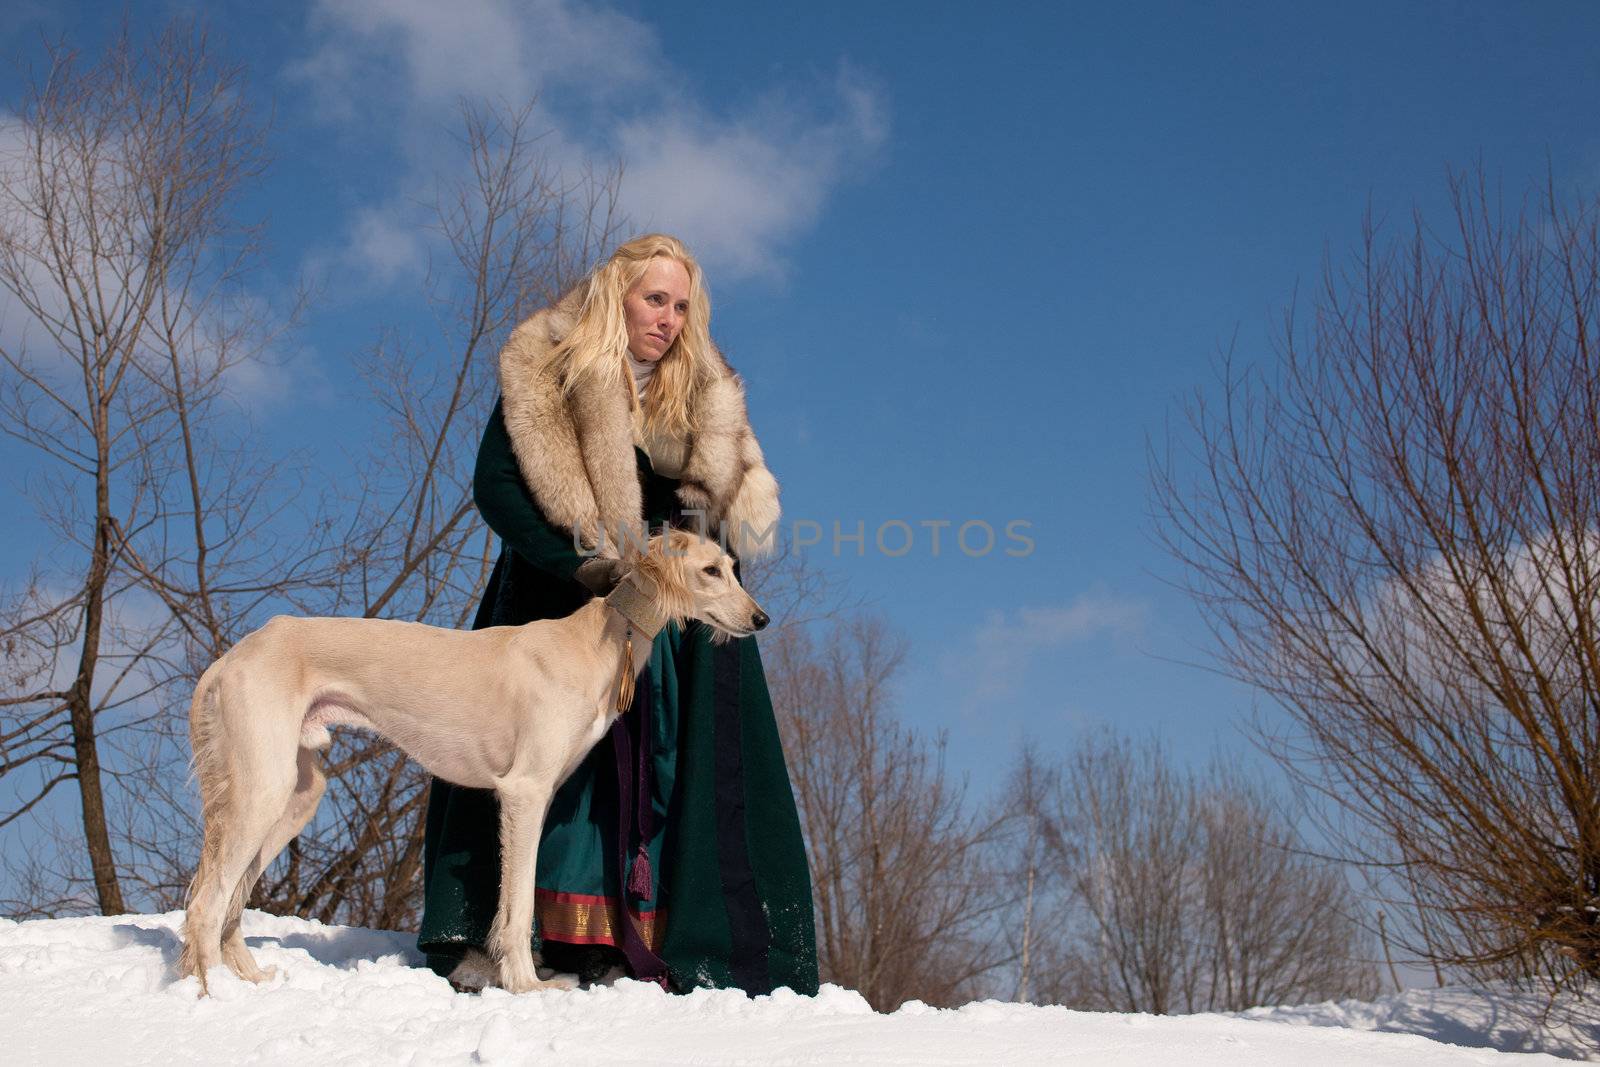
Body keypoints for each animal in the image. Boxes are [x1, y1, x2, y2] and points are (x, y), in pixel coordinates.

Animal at [178, 531, 764, 998]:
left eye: (732, 568)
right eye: (711, 570)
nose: (761, 619)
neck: (594, 643)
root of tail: (229, 658)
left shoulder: (535, 797)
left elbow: (507, 905)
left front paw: (513, 980)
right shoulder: (524, 791)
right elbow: (521, 905)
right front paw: (529, 986)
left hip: (296, 794)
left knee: (230, 903)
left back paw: (251, 981)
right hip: (262, 788)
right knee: (206, 904)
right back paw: (213, 998)